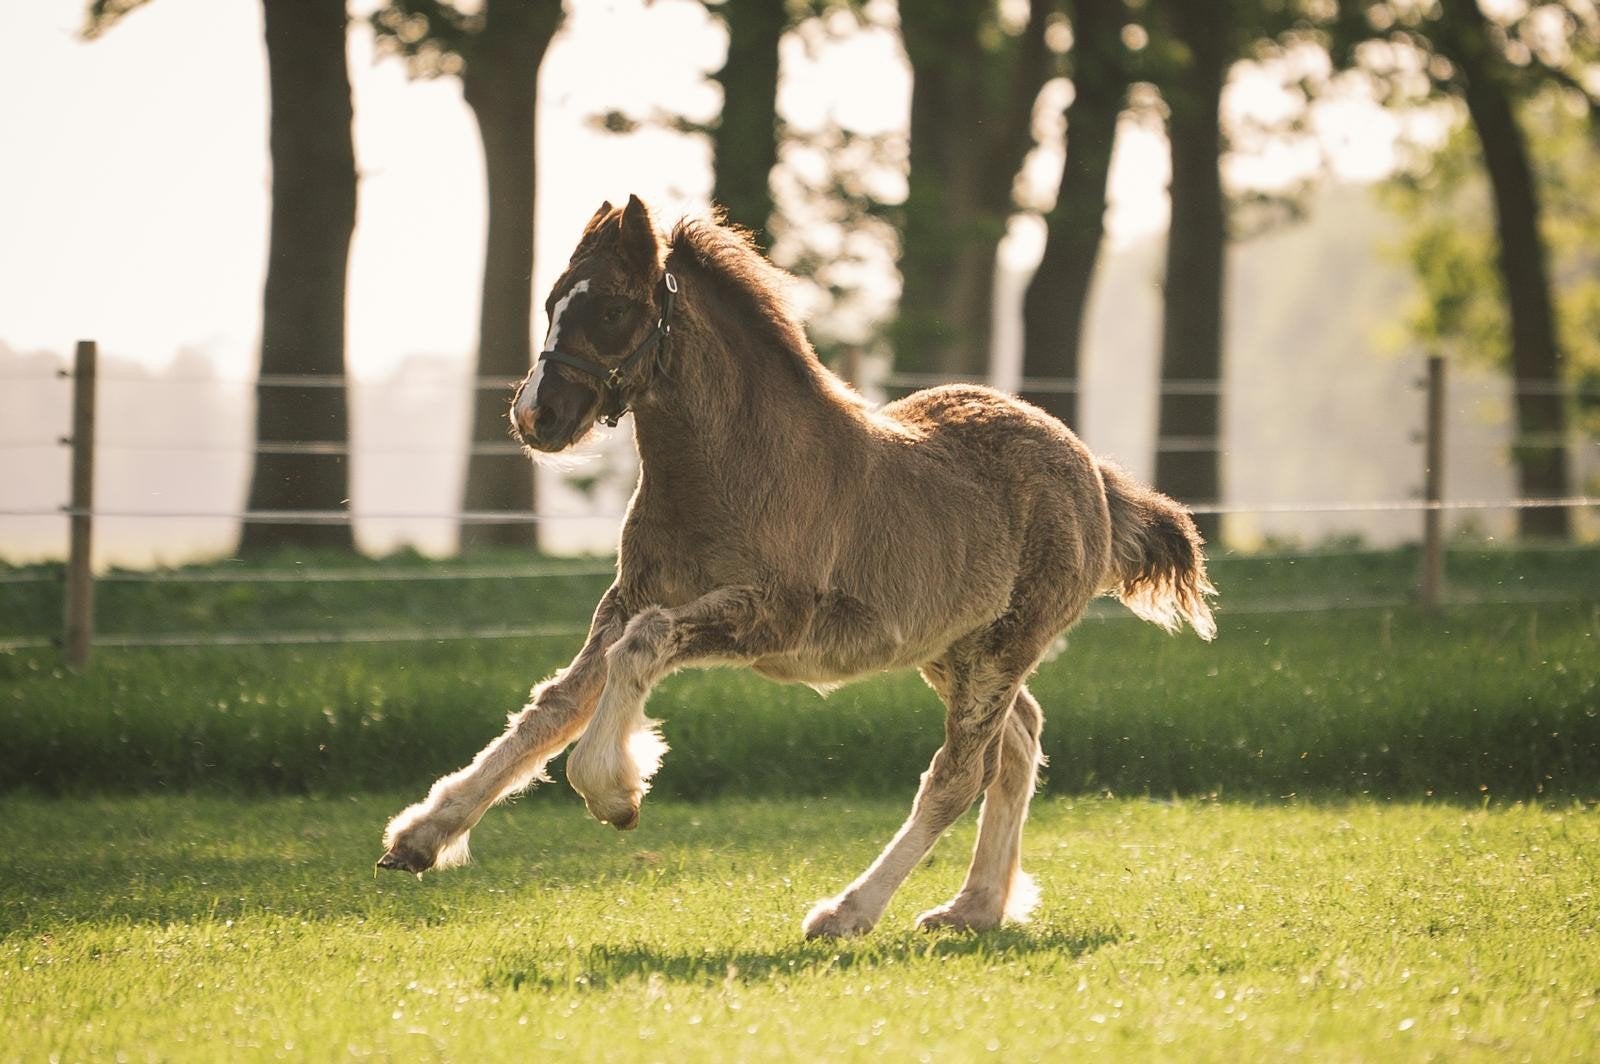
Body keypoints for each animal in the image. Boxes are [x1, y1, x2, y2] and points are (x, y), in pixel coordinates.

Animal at [377, 195, 1216, 938]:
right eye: (552, 301)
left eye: (612, 309)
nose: (535, 416)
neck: (729, 470)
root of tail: (1092, 472)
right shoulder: (626, 599)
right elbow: (555, 704)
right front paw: (421, 835)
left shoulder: (766, 616)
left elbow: (642, 649)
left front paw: (613, 792)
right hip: (955, 649)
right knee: (1016, 747)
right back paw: (972, 909)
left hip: (1001, 649)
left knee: (957, 775)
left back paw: (848, 913)